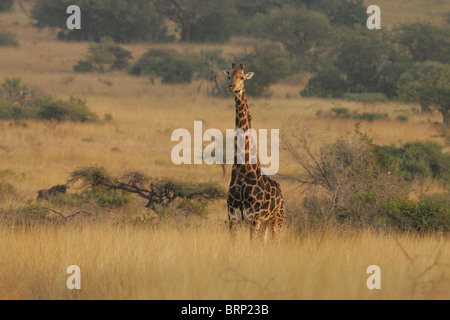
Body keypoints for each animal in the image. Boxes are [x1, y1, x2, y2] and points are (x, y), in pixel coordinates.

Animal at [224, 62, 284, 239]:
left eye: (242, 77)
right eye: (229, 76)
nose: (232, 87)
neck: (243, 169)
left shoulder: (253, 217)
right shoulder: (233, 216)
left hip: (277, 220)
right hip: (265, 224)